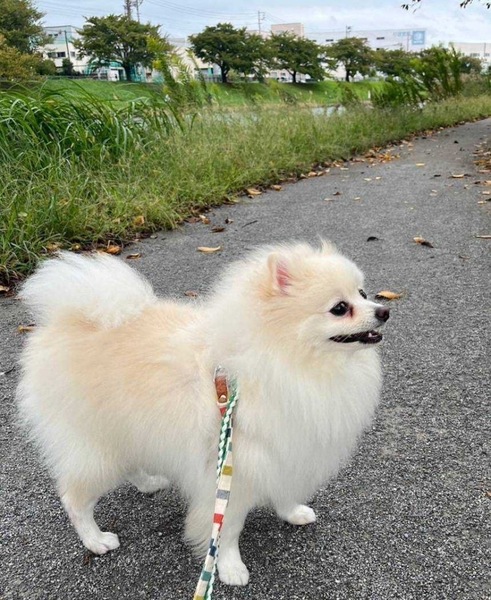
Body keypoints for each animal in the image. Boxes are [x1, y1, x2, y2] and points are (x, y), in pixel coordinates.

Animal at [17, 242, 389, 586]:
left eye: (363, 293)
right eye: (339, 308)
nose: (383, 310)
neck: (290, 362)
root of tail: (64, 321)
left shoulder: (287, 450)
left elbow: (285, 489)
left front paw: (292, 512)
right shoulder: (235, 470)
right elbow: (228, 528)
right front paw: (230, 567)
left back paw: (149, 483)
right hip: (96, 450)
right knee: (74, 499)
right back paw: (95, 540)